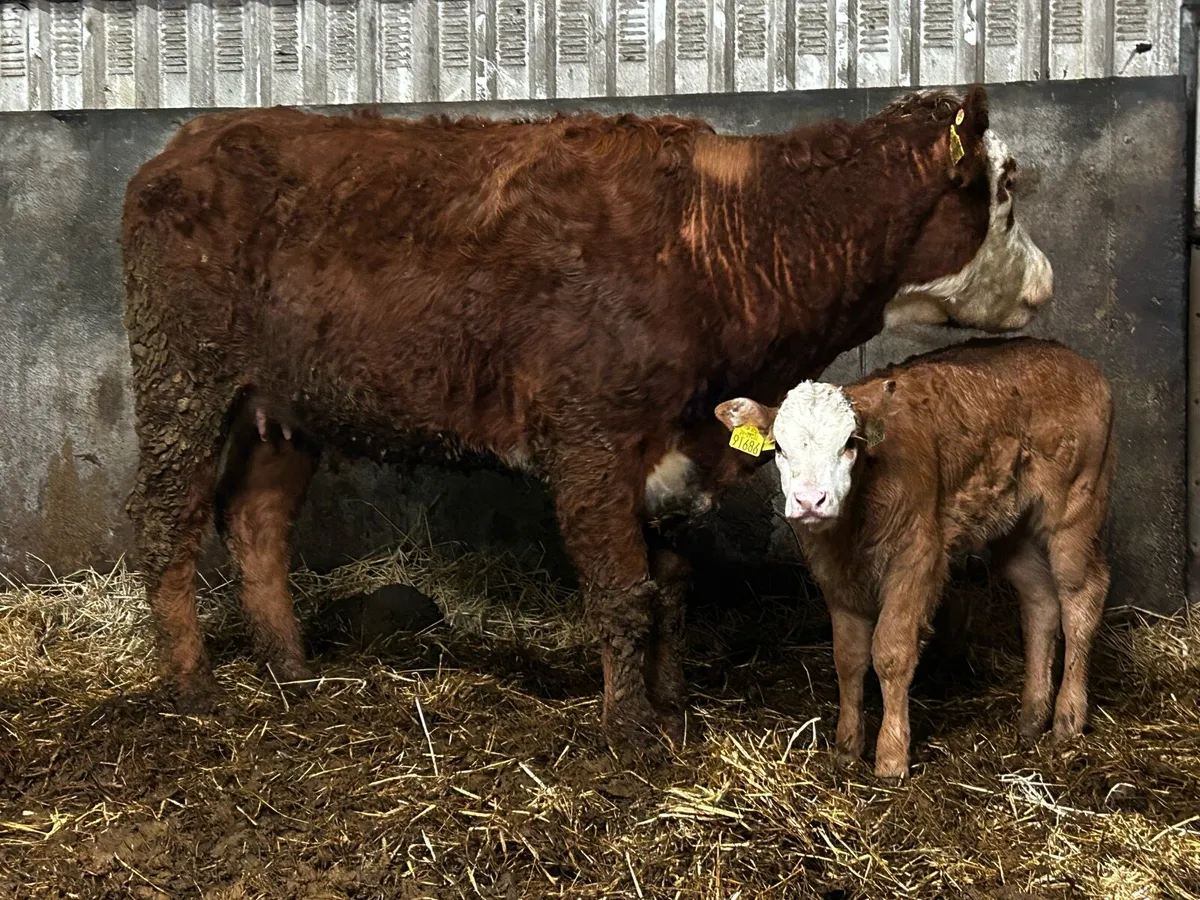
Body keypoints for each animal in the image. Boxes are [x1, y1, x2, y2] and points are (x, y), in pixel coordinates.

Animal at [120, 85, 1053, 746]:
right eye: (1005, 187)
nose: (1045, 283)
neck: (726, 241)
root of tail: (182, 147)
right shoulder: (590, 440)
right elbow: (623, 593)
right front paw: (629, 732)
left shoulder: (678, 451)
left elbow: (670, 590)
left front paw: (671, 709)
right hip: (182, 378)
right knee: (167, 523)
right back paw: (193, 685)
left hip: (284, 408)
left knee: (256, 521)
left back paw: (291, 672)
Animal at [715, 336, 1114, 778]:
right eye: (780, 448)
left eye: (850, 444)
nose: (810, 501)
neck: (852, 530)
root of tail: (1069, 356)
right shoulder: (833, 574)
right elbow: (848, 657)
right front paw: (847, 748)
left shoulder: (917, 557)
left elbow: (891, 651)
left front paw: (891, 757)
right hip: (1012, 524)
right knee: (1040, 600)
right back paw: (1031, 717)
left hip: (1076, 503)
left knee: (1081, 595)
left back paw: (1068, 718)